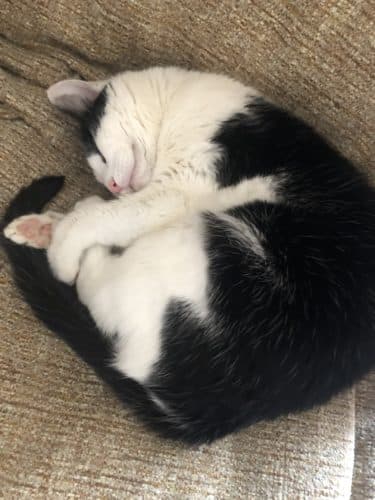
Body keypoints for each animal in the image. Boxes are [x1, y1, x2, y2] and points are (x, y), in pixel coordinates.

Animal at [2, 67, 375, 446]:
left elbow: (100, 219)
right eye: (100, 169)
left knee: (94, 286)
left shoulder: (179, 188)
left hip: (213, 246)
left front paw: (62, 247)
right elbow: (112, 217)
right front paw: (46, 227)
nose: (112, 187)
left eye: (102, 158)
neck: (176, 105)